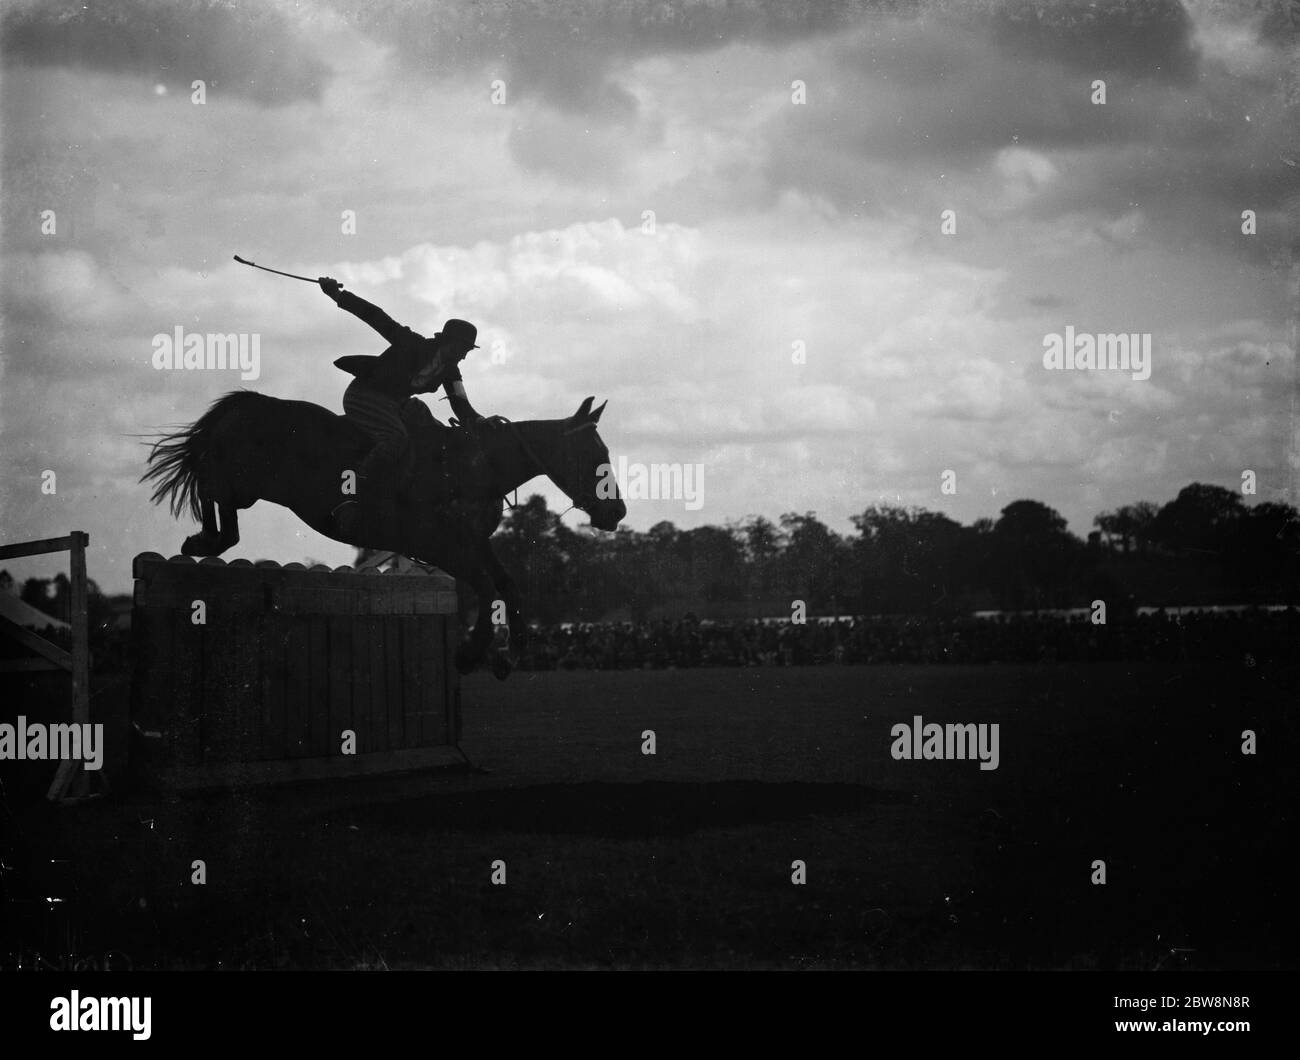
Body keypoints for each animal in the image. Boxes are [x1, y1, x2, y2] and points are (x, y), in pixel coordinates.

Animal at [139, 392, 626, 681]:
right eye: (595, 454)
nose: (616, 511)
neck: (473, 467)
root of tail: (247, 403)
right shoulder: (435, 544)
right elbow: (487, 588)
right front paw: (471, 653)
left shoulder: (472, 543)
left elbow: (506, 585)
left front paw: (507, 656)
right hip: (242, 478)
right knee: (212, 490)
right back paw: (205, 542)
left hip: (248, 486)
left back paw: (207, 542)